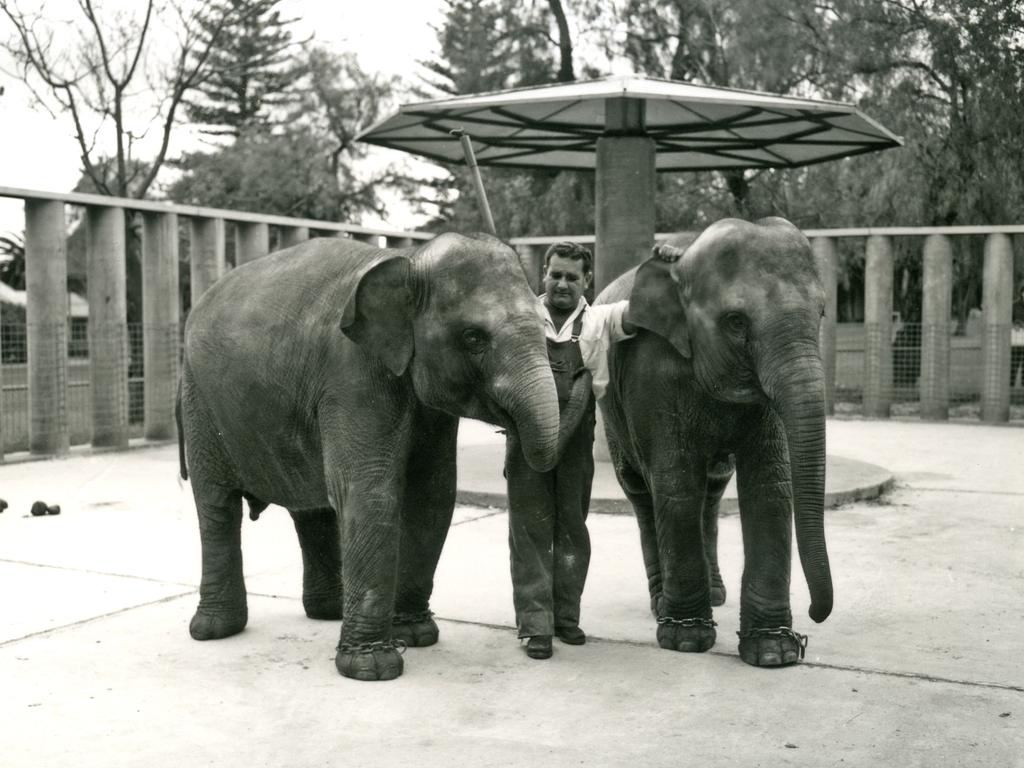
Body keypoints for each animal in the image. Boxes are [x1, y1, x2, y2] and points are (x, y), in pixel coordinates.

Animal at [180, 231, 589, 684]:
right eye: (473, 338)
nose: (583, 372)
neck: (408, 261)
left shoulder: (426, 404)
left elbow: (432, 496)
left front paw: (416, 636)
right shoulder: (353, 374)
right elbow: (372, 493)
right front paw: (373, 668)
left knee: (313, 509)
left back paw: (327, 613)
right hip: (199, 400)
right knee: (216, 506)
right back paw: (214, 630)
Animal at [598, 217, 831, 667]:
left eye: (823, 313)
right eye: (736, 322)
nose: (815, 615)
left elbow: (770, 486)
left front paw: (773, 652)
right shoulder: (653, 374)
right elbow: (676, 484)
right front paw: (685, 640)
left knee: (714, 487)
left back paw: (717, 594)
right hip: (610, 412)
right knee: (642, 491)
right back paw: (662, 602)